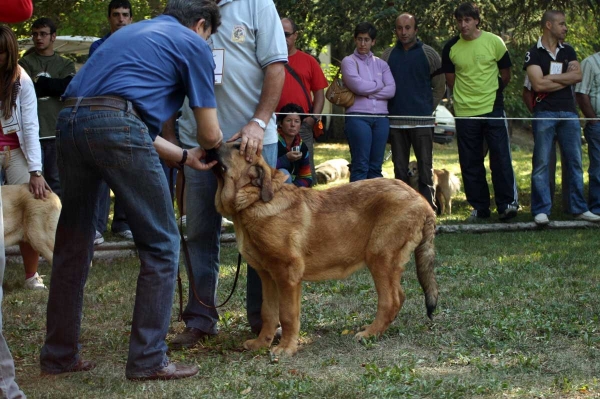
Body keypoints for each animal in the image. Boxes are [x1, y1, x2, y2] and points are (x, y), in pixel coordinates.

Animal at [213, 145, 438, 358]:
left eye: (236, 147)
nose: (211, 146)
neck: (255, 200)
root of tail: (424, 202)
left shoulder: (287, 275)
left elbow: (287, 315)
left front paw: (286, 348)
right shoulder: (267, 276)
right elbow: (268, 313)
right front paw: (261, 343)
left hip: (380, 258)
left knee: (390, 301)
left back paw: (370, 334)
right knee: (398, 297)